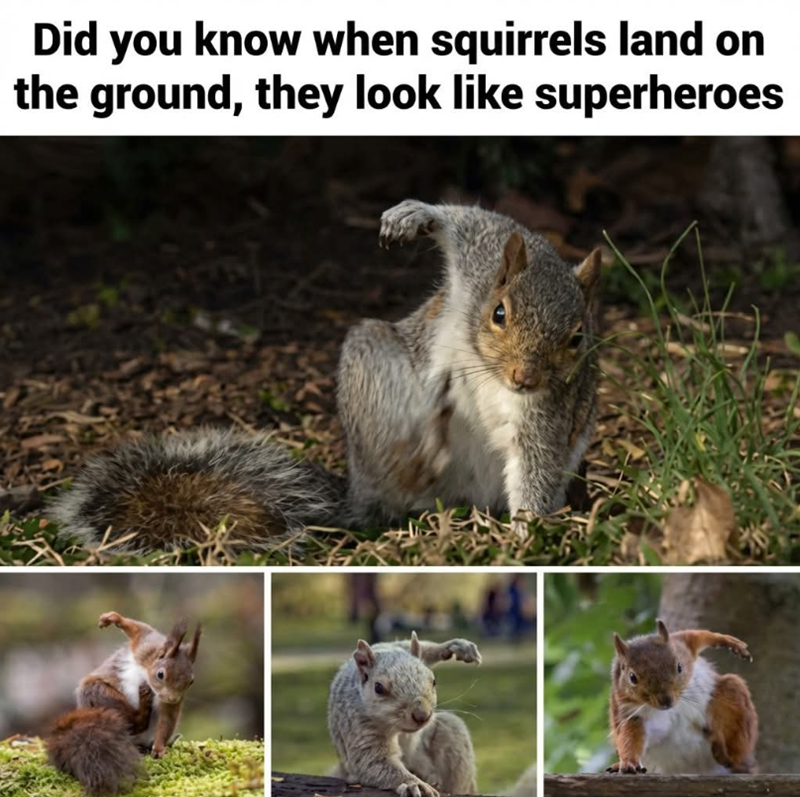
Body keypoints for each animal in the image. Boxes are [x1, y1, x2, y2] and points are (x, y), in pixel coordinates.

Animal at [47, 611, 201, 795]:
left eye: (191, 681)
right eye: (161, 674)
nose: (172, 698)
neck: (147, 674)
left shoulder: (168, 704)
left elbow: (166, 721)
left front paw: (159, 748)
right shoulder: (145, 646)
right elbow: (138, 628)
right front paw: (112, 618)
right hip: (98, 693)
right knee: (134, 721)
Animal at [50, 199, 600, 551]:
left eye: (578, 338)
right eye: (499, 313)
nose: (524, 377)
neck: (486, 365)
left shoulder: (547, 410)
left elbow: (536, 463)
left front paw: (526, 535)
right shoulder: (481, 258)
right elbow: (469, 220)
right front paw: (414, 215)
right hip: (369, 363)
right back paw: (418, 445)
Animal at [328, 632, 481, 797]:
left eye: (434, 681)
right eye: (378, 688)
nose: (422, 715)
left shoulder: (395, 647)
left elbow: (418, 647)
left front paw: (457, 646)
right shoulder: (358, 725)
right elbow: (373, 761)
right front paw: (413, 784)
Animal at [607, 619, 758, 776]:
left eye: (679, 667)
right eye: (632, 677)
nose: (666, 701)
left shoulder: (682, 645)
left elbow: (697, 636)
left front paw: (731, 642)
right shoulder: (633, 714)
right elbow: (630, 737)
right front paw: (629, 762)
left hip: (732, 695)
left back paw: (730, 757)